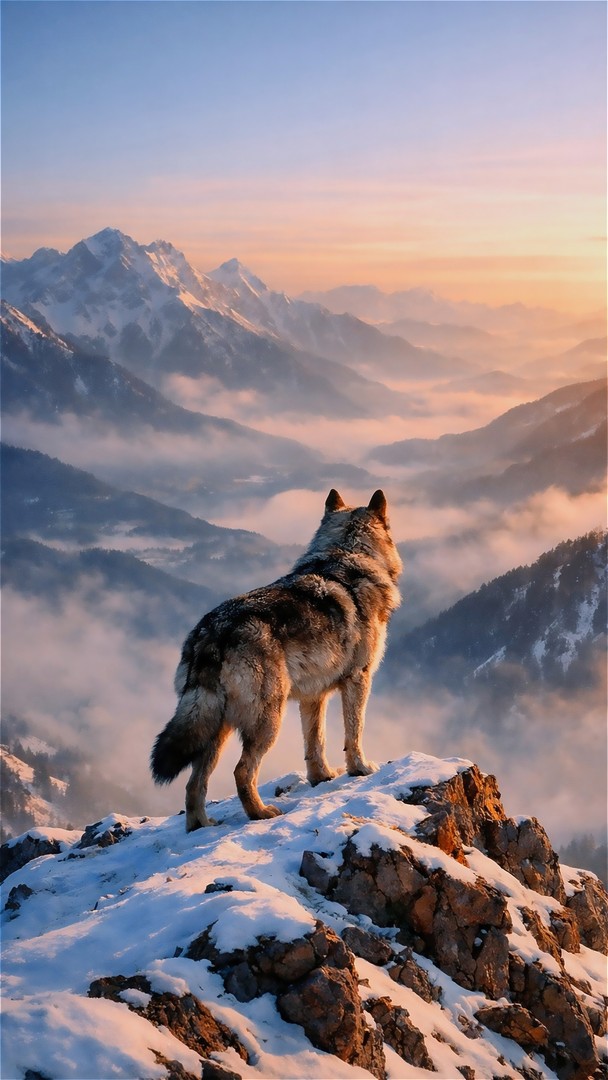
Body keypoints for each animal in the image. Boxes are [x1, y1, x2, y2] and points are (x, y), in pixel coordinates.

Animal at [151, 489, 402, 831]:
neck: (347, 554)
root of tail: (213, 632)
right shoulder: (358, 679)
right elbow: (354, 732)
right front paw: (360, 769)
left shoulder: (313, 697)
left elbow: (315, 743)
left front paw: (322, 777)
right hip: (267, 720)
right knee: (241, 771)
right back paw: (261, 813)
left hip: (216, 728)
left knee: (194, 784)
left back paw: (202, 826)